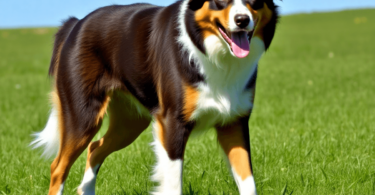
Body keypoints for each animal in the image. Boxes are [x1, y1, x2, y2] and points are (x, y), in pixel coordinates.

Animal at [31, 0, 280, 194]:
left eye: (254, 1)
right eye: (221, 1)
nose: (242, 20)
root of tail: (75, 24)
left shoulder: (234, 123)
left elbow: (247, 181)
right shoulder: (172, 123)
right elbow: (173, 182)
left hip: (129, 124)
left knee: (94, 149)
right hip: (83, 117)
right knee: (58, 167)